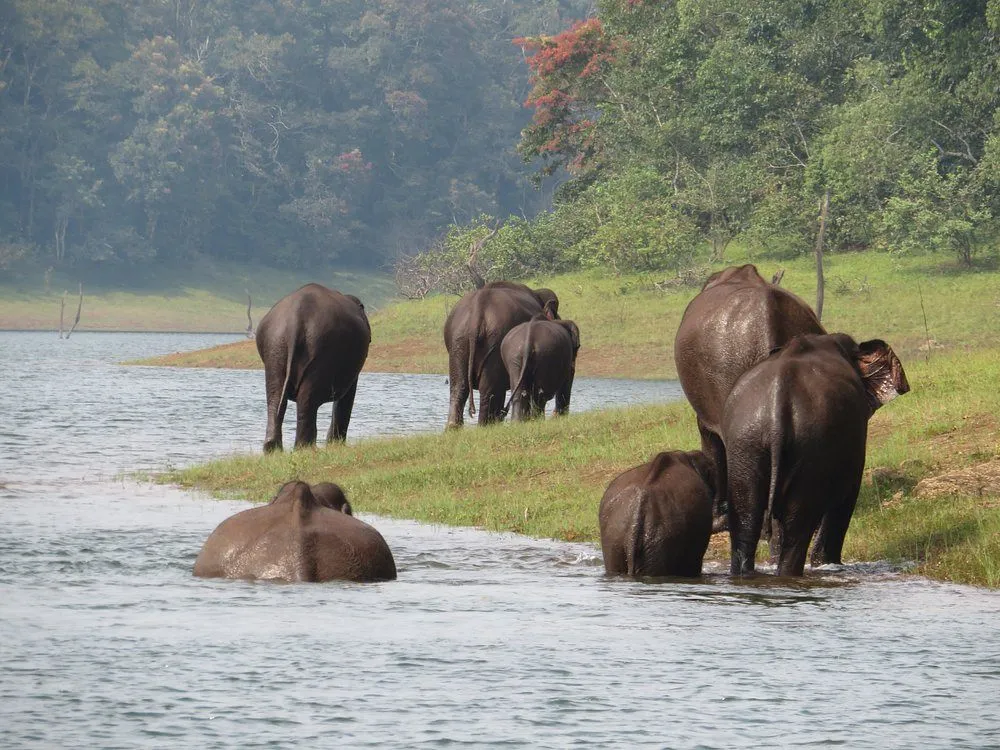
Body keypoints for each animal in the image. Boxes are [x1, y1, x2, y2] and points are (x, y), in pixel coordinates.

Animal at [255, 283, 371, 452]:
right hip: (321, 349)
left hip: (275, 346)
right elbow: (348, 395)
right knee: (307, 398)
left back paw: (273, 449)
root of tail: (295, 319)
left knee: (275, 394)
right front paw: (335, 445)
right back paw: (305, 449)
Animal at [443, 281, 560, 427]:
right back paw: (484, 426)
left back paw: (453, 427)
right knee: (489, 390)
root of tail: (478, 309)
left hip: (458, 339)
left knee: (459, 386)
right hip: (495, 343)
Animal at [721, 333, 909, 577]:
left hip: (744, 443)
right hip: (811, 447)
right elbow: (846, 496)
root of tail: (777, 405)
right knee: (798, 527)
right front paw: (827, 564)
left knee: (746, 522)